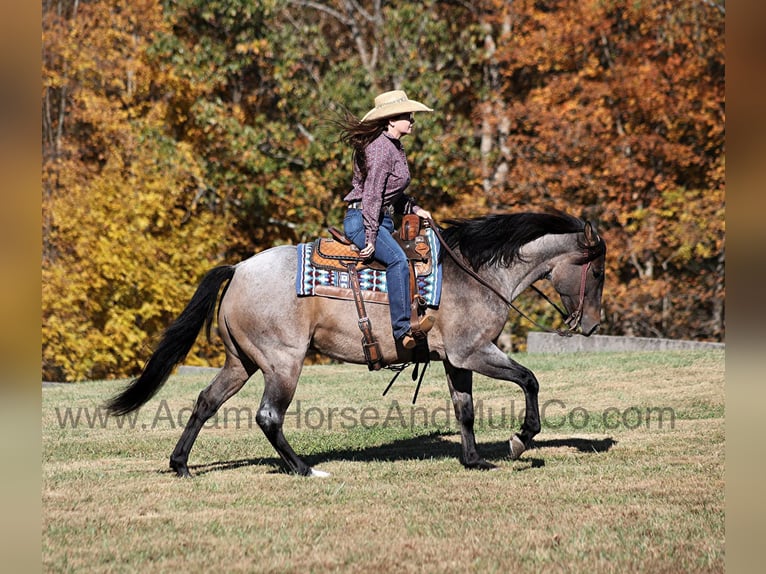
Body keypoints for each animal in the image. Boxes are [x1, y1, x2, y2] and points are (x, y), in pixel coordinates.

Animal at [107, 211, 607, 477]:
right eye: (598, 270)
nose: (592, 325)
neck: (474, 272)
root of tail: (240, 268)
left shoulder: (456, 358)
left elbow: (463, 408)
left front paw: (473, 460)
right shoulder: (475, 351)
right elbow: (530, 380)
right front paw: (521, 439)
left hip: (241, 361)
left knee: (206, 401)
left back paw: (181, 464)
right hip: (282, 363)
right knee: (268, 416)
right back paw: (305, 469)